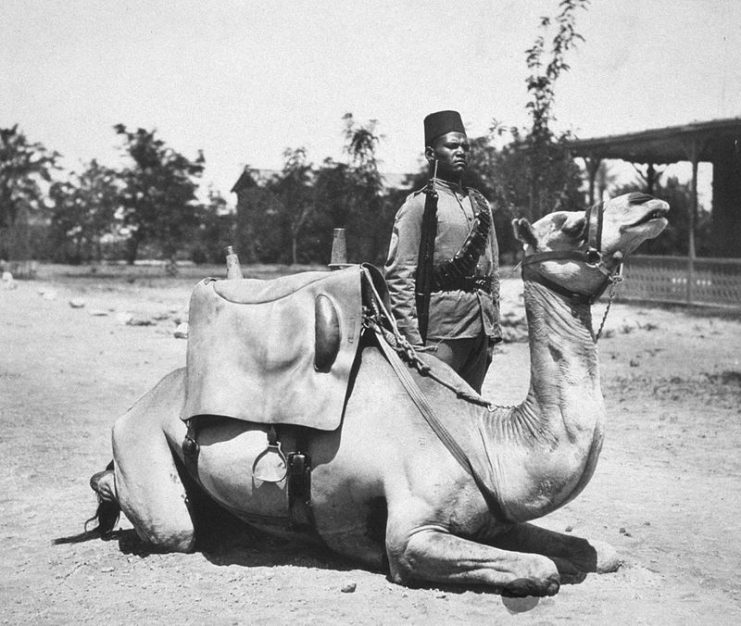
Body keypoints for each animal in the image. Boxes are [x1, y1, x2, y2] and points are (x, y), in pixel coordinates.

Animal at [89, 190, 668, 596]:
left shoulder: (497, 522)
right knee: (172, 529)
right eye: (571, 223)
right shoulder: (412, 536)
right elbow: (543, 569)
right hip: (145, 449)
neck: (488, 439)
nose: (650, 202)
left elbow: (600, 552)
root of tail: (136, 406)